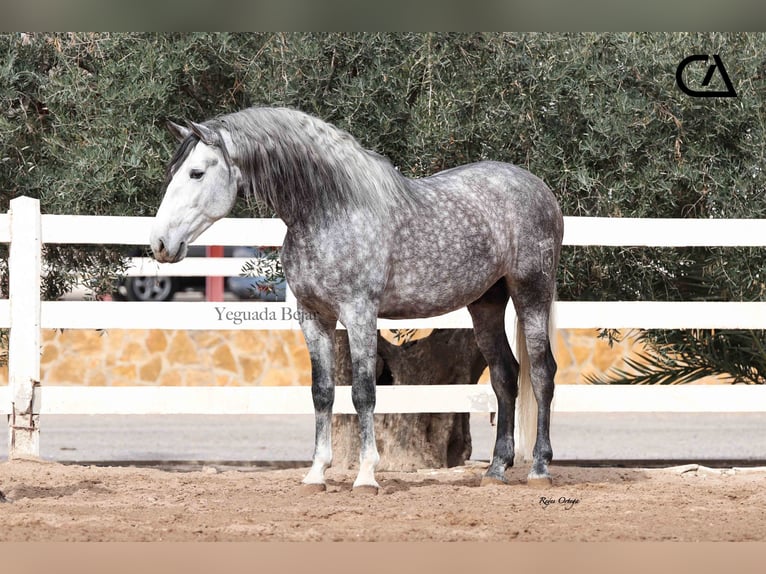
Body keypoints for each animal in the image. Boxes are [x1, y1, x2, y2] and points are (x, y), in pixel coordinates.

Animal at [153, 107, 568, 490]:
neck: (330, 212)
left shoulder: (359, 314)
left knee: (542, 372)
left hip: (531, 292)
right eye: (173, 172)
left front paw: (367, 476)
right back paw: (496, 469)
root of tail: (540, 189)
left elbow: (364, 393)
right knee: (505, 375)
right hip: (486, 302)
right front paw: (316, 474)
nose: (160, 244)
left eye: (196, 173)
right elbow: (322, 393)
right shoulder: (313, 317)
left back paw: (539, 469)